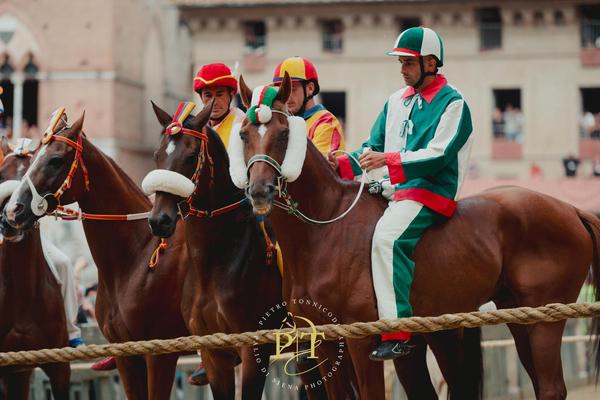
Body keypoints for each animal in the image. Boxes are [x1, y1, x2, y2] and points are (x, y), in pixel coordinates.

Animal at [233, 72, 600, 400]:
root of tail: (571, 210)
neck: (324, 231)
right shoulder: (323, 341)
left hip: (545, 320)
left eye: (283, 134)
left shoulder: (360, 340)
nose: (260, 191)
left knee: (551, 388)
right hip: (518, 316)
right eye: (244, 134)